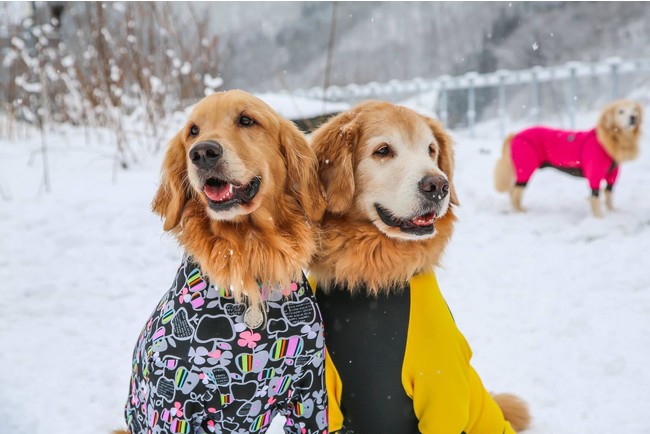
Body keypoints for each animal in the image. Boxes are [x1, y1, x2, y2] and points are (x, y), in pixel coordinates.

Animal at [494, 101, 640, 217]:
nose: (633, 117)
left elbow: (609, 195)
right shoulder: (595, 173)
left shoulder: (612, 175)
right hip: (525, 168)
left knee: (513, 191)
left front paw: (613, 212)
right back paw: (520, 212)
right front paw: (599, 218)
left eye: (634, 109)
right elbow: (595, 197)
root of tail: (515, 135)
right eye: (621, 111)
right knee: (515, 192)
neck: (605, 140)